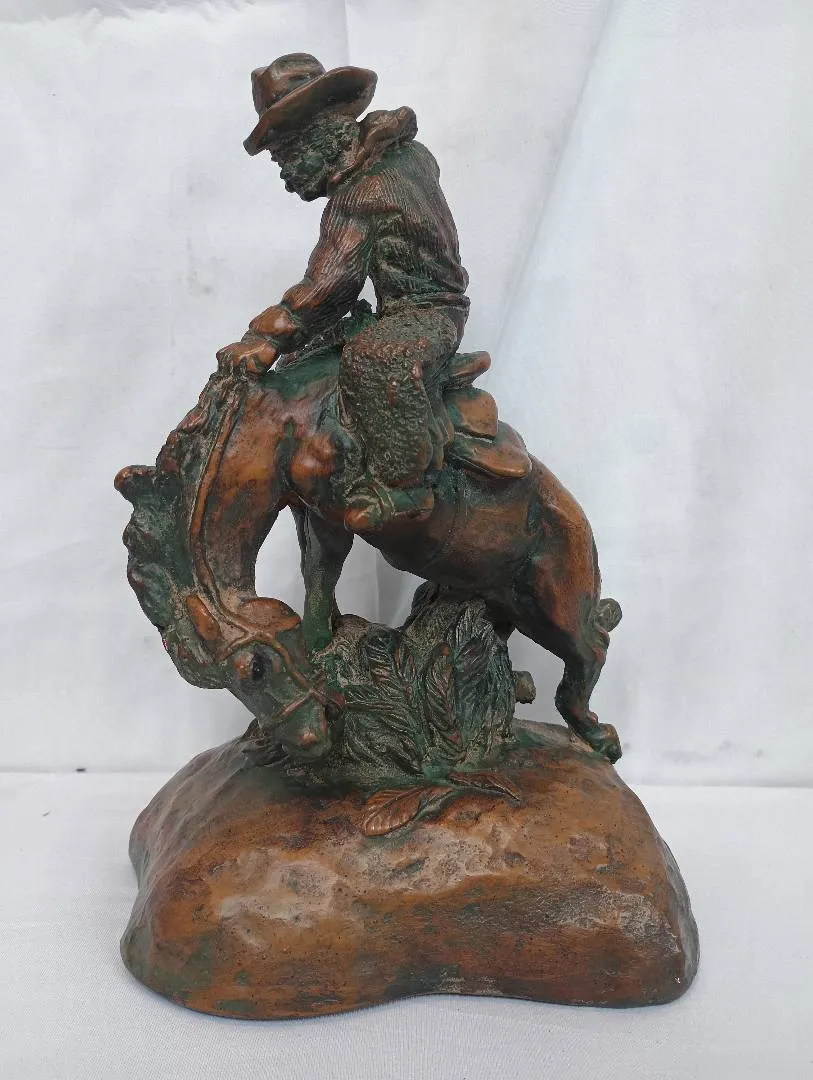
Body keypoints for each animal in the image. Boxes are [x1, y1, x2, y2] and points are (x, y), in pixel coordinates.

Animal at [115, 335, 622, 765]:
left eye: (255, 669)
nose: (307, 742)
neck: (288, 425)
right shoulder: (306, 512)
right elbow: (315, 572)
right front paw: (330, 639)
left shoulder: (332, 514)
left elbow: (324, 568)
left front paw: (322, 645)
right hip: (503, 600)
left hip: (554, 604)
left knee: (593, 649)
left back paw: (597, 737)